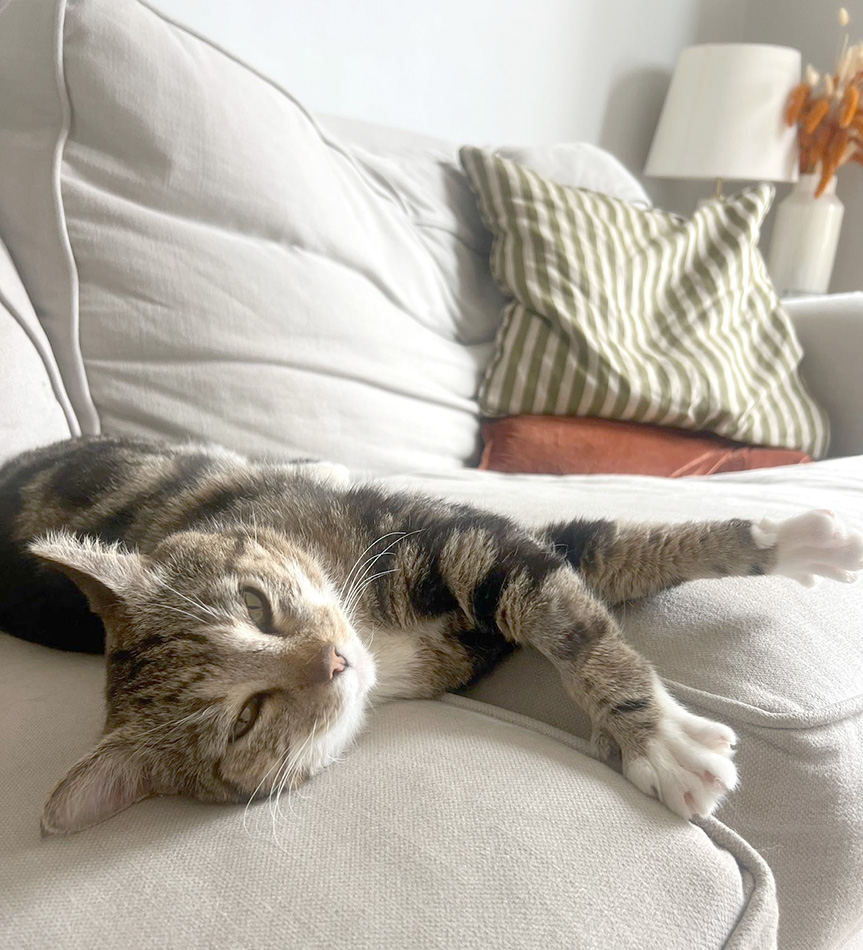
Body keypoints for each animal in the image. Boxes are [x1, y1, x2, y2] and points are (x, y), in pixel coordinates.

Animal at [0, 436, 860, 836]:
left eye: (254, 603)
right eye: (244, 718)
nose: (332, 659)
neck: (377, 638)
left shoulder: (447, 539)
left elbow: (582, 578)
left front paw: (790, 541)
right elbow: (574, 586)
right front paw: (660, 745)